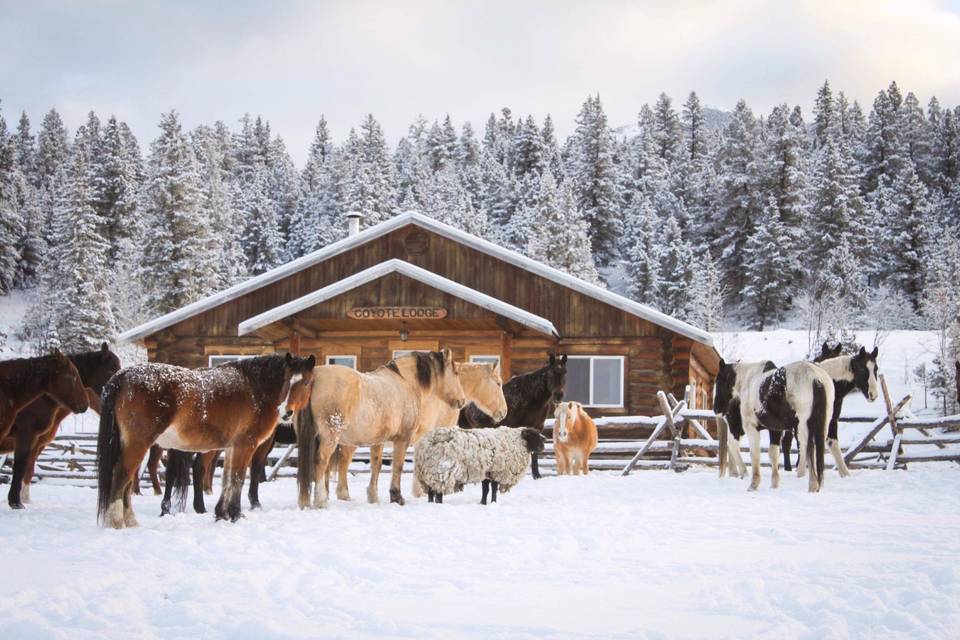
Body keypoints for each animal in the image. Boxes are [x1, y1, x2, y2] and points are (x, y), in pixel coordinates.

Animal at [0, 344, 121, 510]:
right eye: (111, 369)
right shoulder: (27, 436)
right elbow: (21, 467)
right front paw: (16, 501)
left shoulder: (38, 443)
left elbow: (29, 470)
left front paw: (23, 499)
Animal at [98, 352, 316, 528]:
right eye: (286, 379)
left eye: (305, 382)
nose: (286, 412)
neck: (255, 388)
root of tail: (123, 375)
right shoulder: (247, 445)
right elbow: (238, 478)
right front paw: (236, 514)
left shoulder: (232, 447)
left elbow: (228, 478)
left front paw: (222, 514)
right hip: (139, 444)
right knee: (121, 475)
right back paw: (117, 521)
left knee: (127, 480)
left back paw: (131, 521)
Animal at [298, 350, 466, 510]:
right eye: (456, 372)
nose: (462, 401)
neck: (405, 382)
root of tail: (315, 377)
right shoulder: (403, 439)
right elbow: (398, 466)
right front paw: (397, 497)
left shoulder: (378, 441)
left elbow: (376, 465)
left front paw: (373, 497)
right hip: (330, 437)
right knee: (322, 462)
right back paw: (321, 501)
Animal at [414, 424, 544, 504]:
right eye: (533, 436)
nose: (543, 446)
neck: (515, 442)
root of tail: (423, 446)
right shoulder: (496, 471)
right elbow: (492, 489)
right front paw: (492, 502)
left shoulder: (488, 472)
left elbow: (486, 489)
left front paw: (483, 503)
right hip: (441, 473)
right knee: (438, 493)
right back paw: (439, 504)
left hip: (428, 474)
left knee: (430, 493)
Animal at [712, 360, 832, 490]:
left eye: (718, 380)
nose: (716, 408)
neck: (748, 380)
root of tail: (815, 378)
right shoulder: (775, 429)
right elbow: (773, 453)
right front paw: (774, 484)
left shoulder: (751, 427)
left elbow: (755, 454)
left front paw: (754, 484)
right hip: (822, 426)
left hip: (802, 428)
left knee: (807, 449)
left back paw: (812, 485)